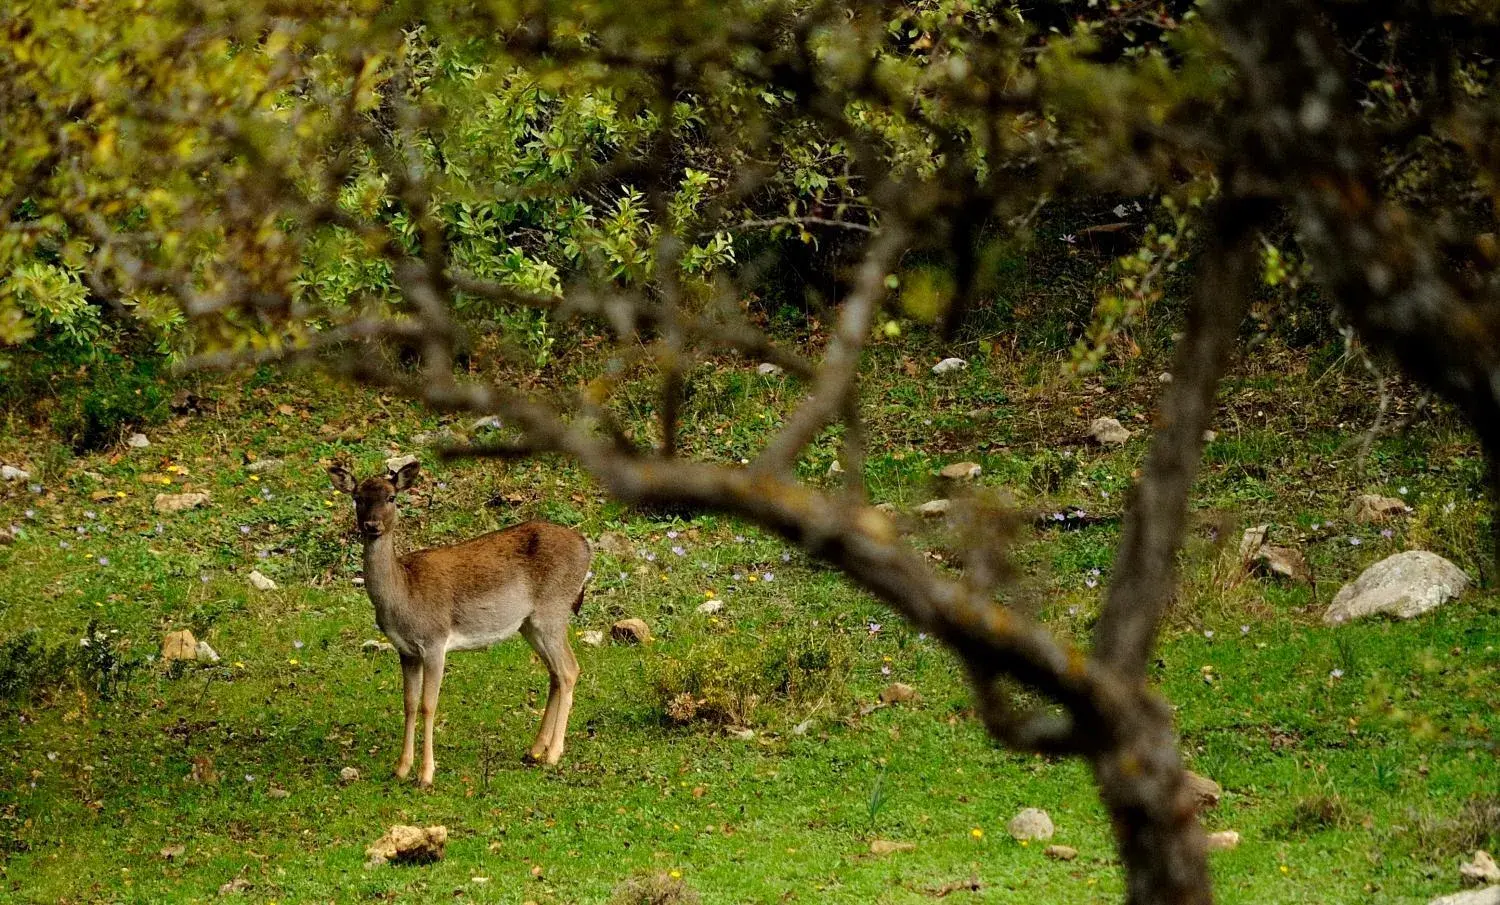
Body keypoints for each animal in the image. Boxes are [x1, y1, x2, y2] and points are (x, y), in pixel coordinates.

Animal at [328, 459, 591, 786]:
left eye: (391, 497)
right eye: (358, 497)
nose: (372, 526)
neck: (403, 595)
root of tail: (587, 548)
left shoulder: (434, 641)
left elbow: (428, 705)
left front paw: (426, 774)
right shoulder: (406, 650)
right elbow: (409, 703)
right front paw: (401, 768)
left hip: (553, 610)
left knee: (569, 669)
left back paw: (553, 755)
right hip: (529, 624)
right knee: (555, 672)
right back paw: (534, 750)